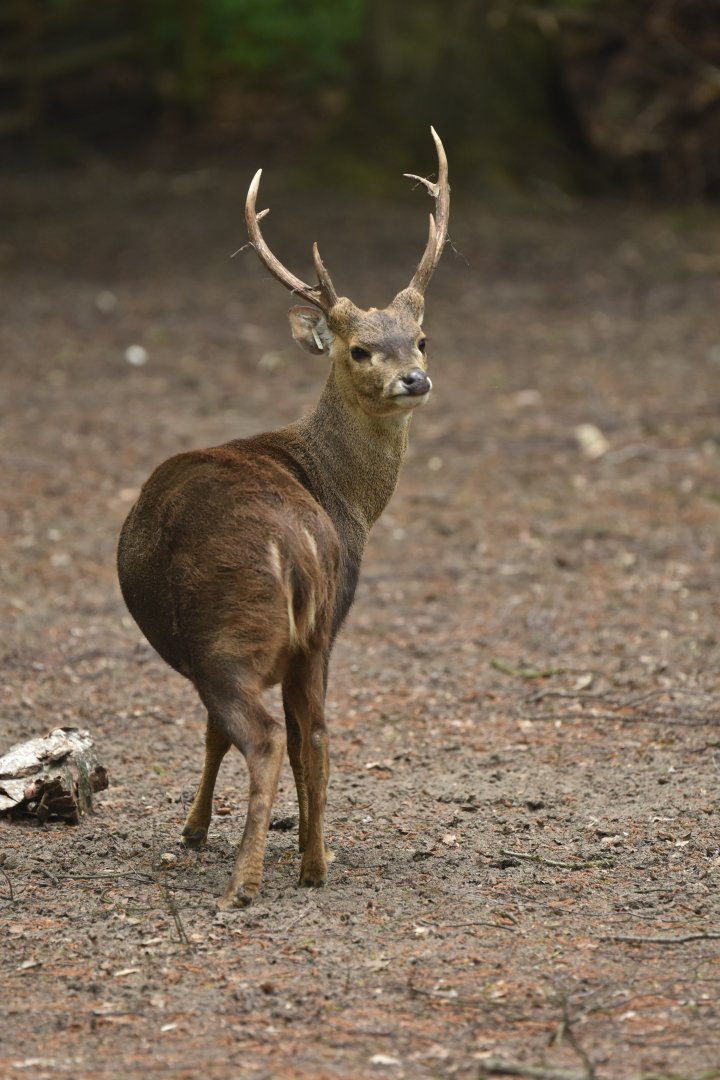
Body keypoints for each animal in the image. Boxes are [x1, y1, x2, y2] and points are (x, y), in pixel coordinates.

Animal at [117, 128, 449, 909]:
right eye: (362, 348)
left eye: (421, 340)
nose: (413, 378)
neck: (345, 497)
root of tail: (296, 545)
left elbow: (212, 735)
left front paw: (192, 830)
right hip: (313, 631)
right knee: (316, 733)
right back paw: (314, 864)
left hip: (225, 629)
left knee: (265, 736)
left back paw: (244, 881)